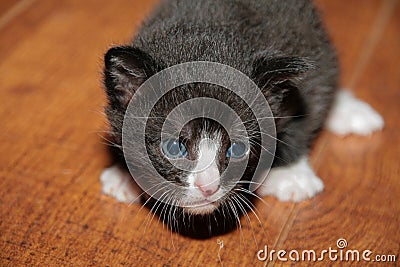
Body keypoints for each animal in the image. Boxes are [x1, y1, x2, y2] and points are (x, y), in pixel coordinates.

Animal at [99, 0, 382, 239]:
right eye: (174, 147)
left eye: (236, 149)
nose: (208, 187)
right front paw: (125, 175)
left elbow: (304, 111)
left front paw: (291, 175)